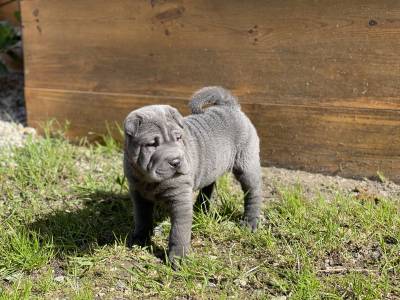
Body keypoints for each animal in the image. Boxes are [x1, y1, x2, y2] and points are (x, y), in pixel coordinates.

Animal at [123, 85, 264, 264]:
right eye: (152, 144)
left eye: (178, 138)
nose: (176, 161)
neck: (149, 180)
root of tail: (230, 106)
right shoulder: (138, 194)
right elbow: (142, 218)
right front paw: (140, 239)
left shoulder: (180, 199)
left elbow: (179, 231)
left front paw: (178, 258)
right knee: (209, 185)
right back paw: (201, 208)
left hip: (246, 163)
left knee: (253, 192)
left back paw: (250, 222)